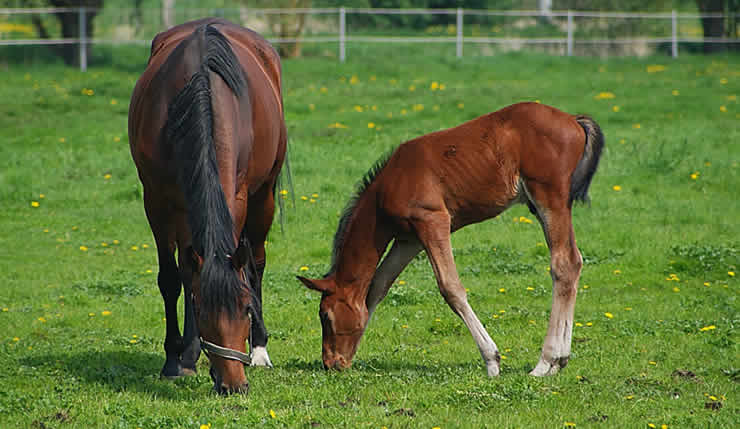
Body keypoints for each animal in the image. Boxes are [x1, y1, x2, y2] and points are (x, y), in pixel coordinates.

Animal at [130, 18, 286, 392]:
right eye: (202, 312)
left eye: (245, 309)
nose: (233, 384)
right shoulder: (157, 201)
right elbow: (173, 279)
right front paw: (177, 358)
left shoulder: (239, 197)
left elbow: (244, 267)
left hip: (264, 195)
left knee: (257, 262)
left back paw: (259, 349)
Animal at [298, 102, 604, 376]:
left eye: (325, 315)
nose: (331, 363)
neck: (387, 187)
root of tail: (573, 120)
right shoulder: (408, 240)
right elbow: (377, 287)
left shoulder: (433, 222)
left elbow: (450, 287)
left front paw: (492, 361)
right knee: (574, 263)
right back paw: (559, 360)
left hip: (548, 198)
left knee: (564, 264)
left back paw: (545, 363)